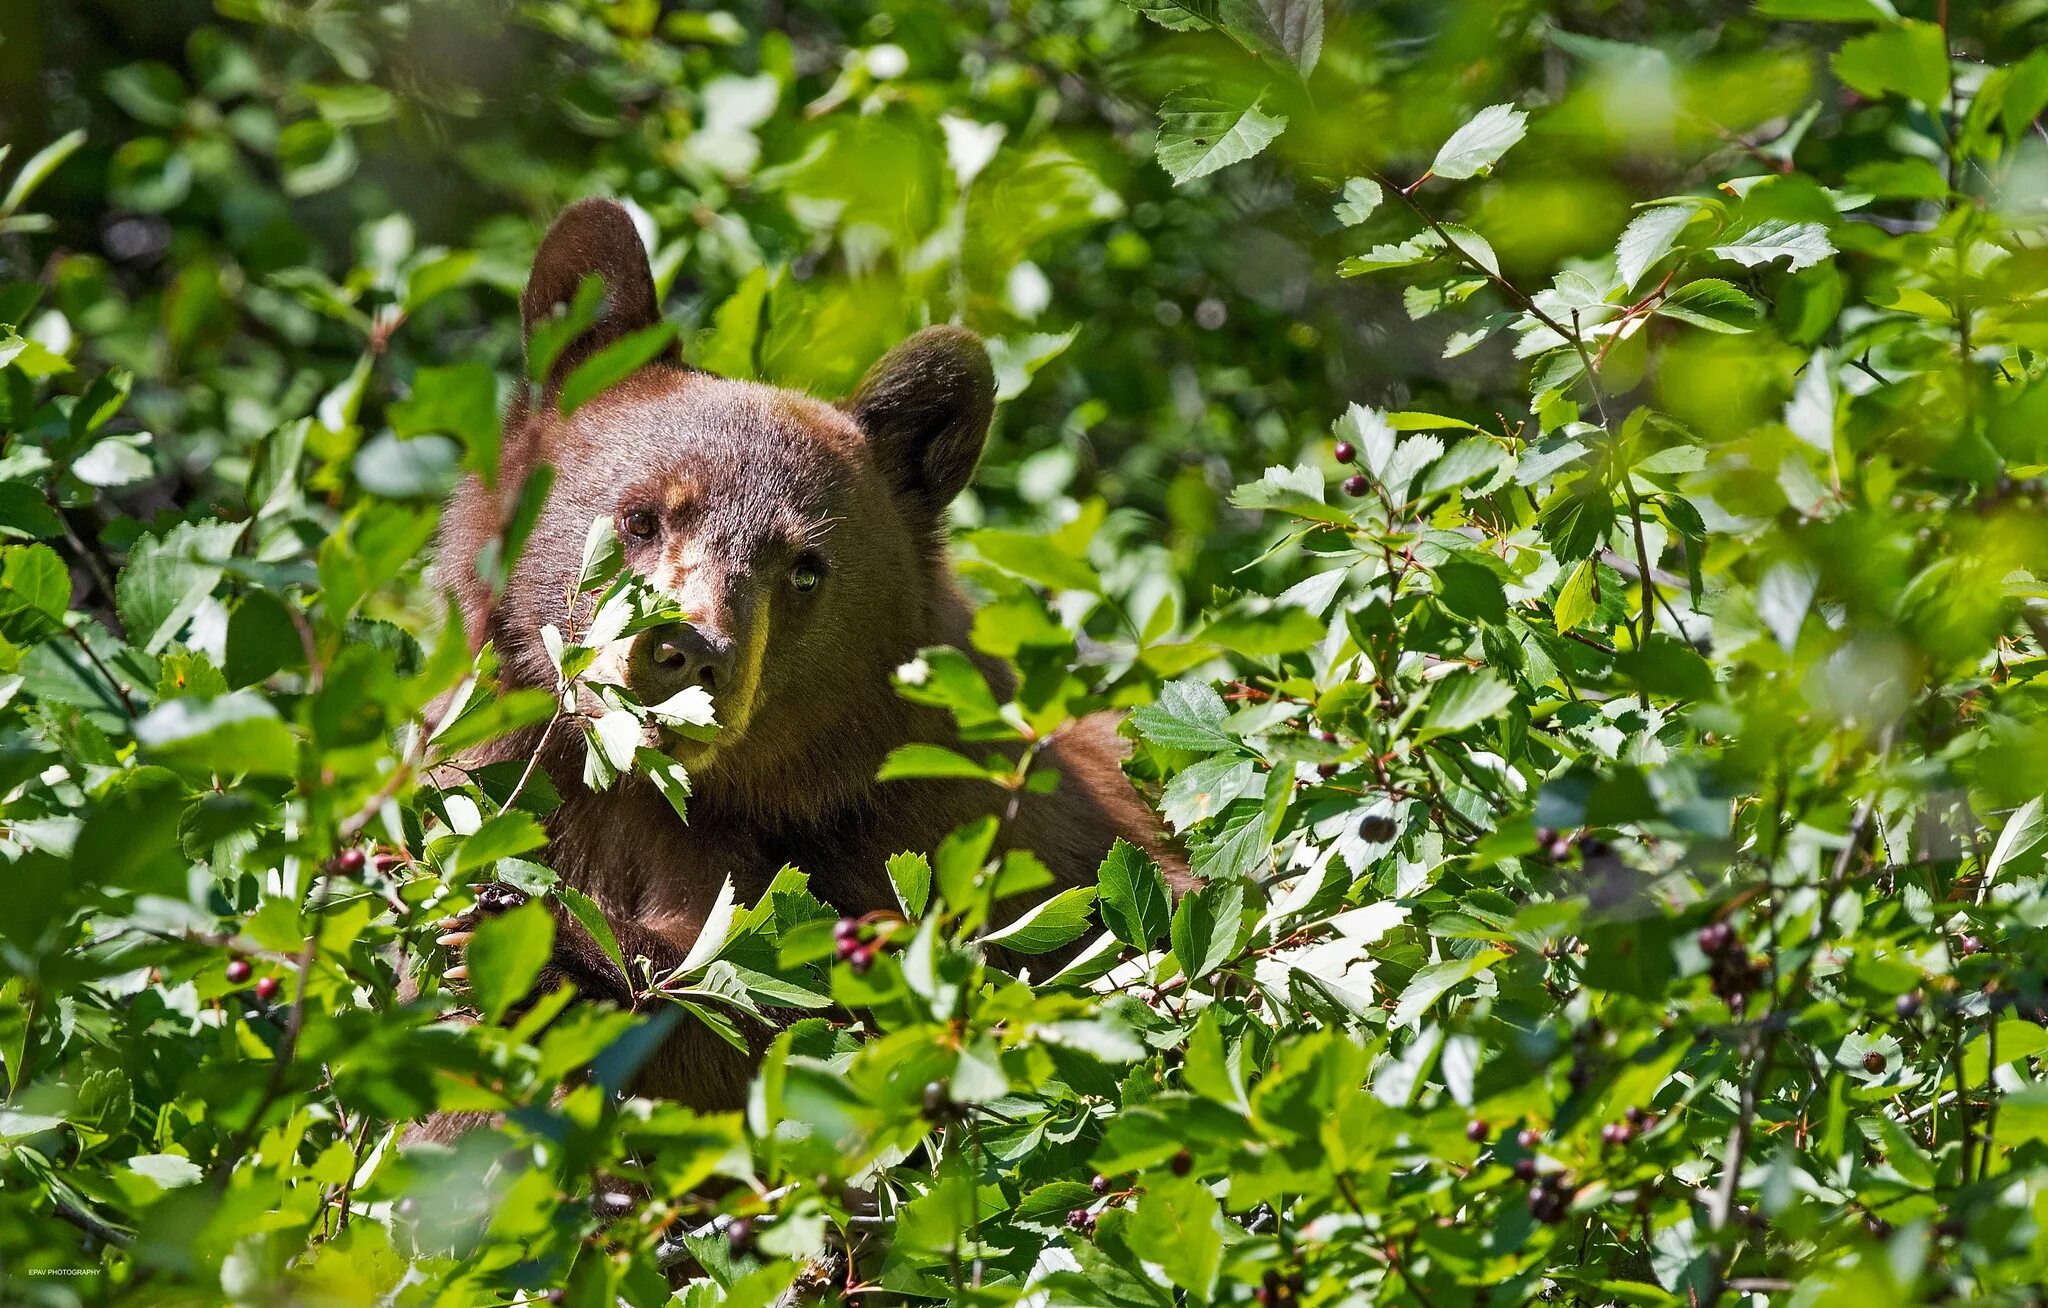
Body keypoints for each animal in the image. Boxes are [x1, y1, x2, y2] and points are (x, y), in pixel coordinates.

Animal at [436, 199, 1187, 1121]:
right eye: (641, 517)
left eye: (804, 568)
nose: (684, 651)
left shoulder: (919, 854)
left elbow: (778, 1012)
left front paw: (554, 950)